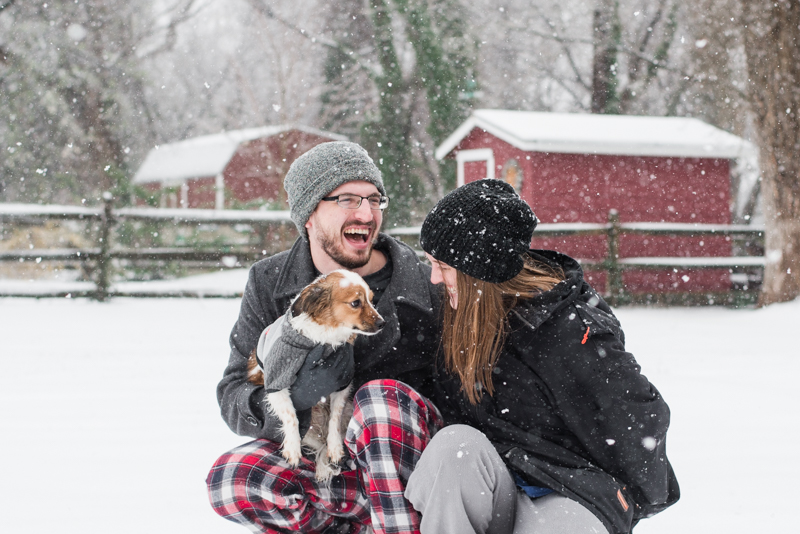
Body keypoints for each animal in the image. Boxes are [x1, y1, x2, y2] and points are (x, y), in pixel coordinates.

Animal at [247, 270, 384, 484]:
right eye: (356, 303)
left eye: (371, 299)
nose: (382, 323)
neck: (323, 341)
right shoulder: (276, 382)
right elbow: (291, 417)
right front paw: (292, 448)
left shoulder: (341, 385)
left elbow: (334, 419)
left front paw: (334, 448)